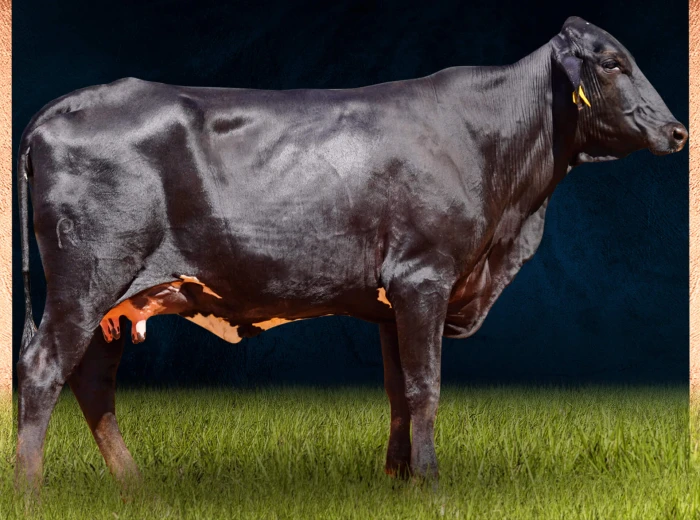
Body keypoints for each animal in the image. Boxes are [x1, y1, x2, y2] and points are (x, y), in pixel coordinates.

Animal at [15, 16, 687, 492]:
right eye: (612, 62)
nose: (679, 131)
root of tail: (63, 105)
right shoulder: (424, 277)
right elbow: (425, 387)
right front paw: (433, 485)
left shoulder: (392, 300)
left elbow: (398, 392)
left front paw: (398, 481)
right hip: (88, 276)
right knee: (43, 369)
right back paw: (30, 492)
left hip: (116, 300)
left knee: (93, 380)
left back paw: (135, 487)